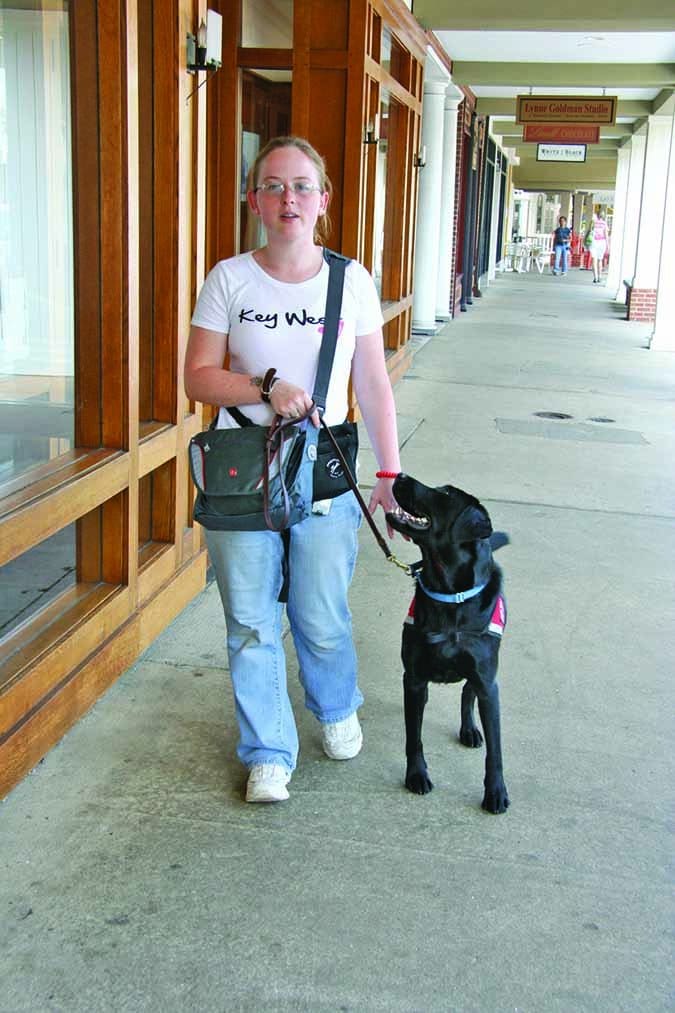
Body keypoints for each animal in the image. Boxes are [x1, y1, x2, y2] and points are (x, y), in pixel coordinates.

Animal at [387, 474, 506, 814]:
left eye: (445, 494)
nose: (398, 476)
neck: (450, 596)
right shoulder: (413, 678)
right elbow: (413, 736)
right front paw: (416, 775)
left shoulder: (487, 682)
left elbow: (496, 752)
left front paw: (496, 792)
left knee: (467, 692)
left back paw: (469, 730)